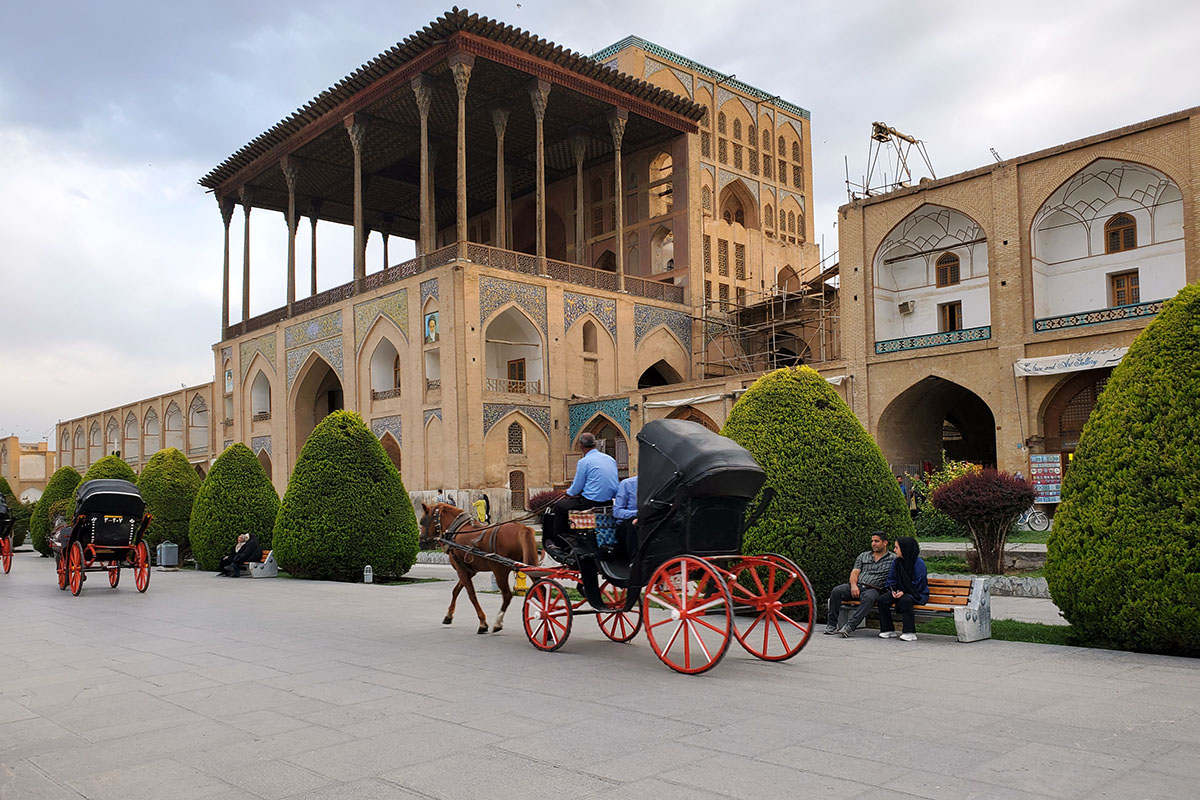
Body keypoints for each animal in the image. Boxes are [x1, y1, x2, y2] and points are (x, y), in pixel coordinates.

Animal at [417, 503, 540, 633]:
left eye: (422, 521)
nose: (421, 542)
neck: (456, 531)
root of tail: (522, 528)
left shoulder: (461, 571)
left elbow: (471, 595)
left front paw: (482, 623)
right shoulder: (467, 570)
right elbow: (456, 590)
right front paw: (448, 616)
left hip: (499, 571)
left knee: (507, 595)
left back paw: (498, 622)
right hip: (529, 566)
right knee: (540, 589)